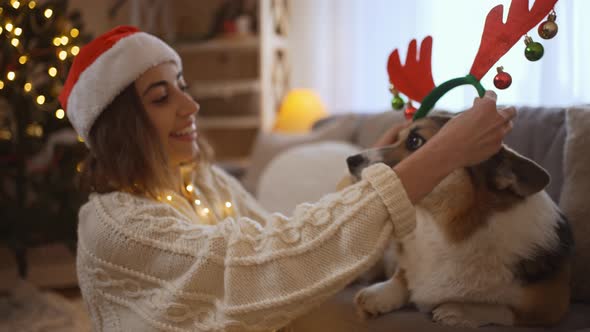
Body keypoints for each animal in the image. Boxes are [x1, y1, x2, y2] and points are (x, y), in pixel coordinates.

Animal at [346, 113, 572, 328]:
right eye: (398, 138)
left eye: (415, 141)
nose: (350, 160)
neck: (440, 228)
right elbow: (402, 277)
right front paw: (376, 295)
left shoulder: (548, 306)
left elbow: (502, 309)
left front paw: (458, 311)